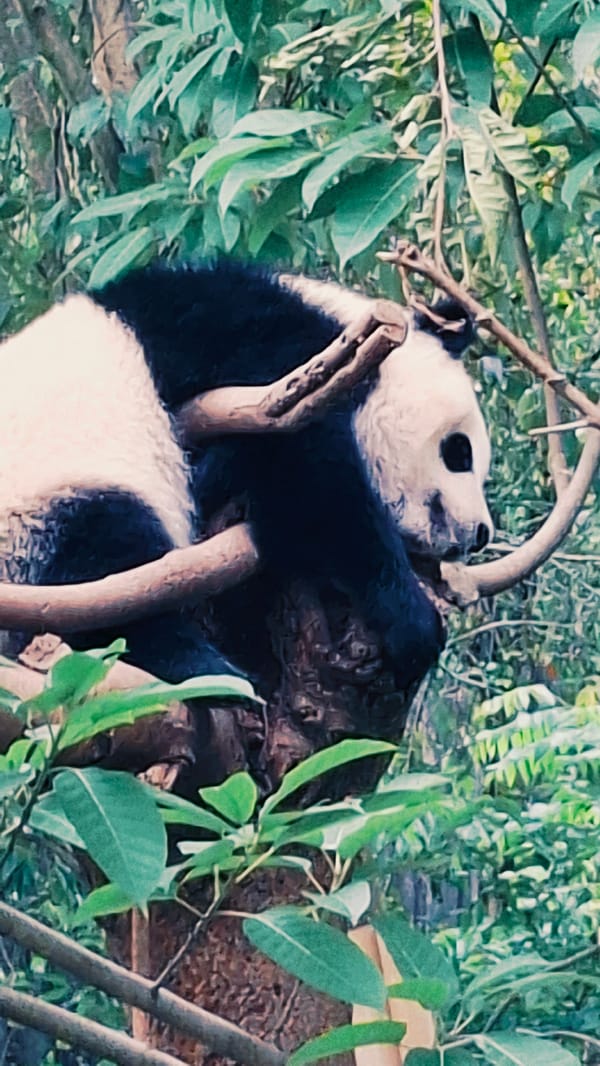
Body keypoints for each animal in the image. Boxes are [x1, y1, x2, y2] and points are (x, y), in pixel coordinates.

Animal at [0, 260, 493, 691]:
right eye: (459, 451)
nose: (481, 534)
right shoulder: (262, 357)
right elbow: (310, 480)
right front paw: (411, 620)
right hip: (45, 506)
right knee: (110, 578)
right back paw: (216, 673)